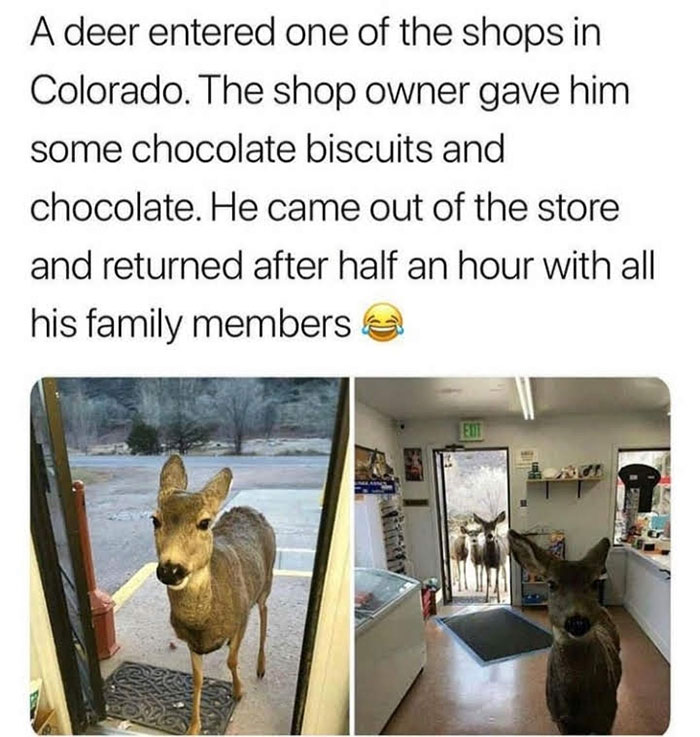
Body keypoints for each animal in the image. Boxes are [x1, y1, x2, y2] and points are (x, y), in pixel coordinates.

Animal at [152, 454, 276, 732]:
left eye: (204, 522)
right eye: (155, 519)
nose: (170, 569)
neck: (204, 621)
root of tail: (250, 509)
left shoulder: (241, 618)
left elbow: (232, 661)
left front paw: (238, 691)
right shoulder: (192, 642)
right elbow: (197, 679)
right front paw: (193, 727)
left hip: (267, 581)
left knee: (264, 611)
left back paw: (261, 667)